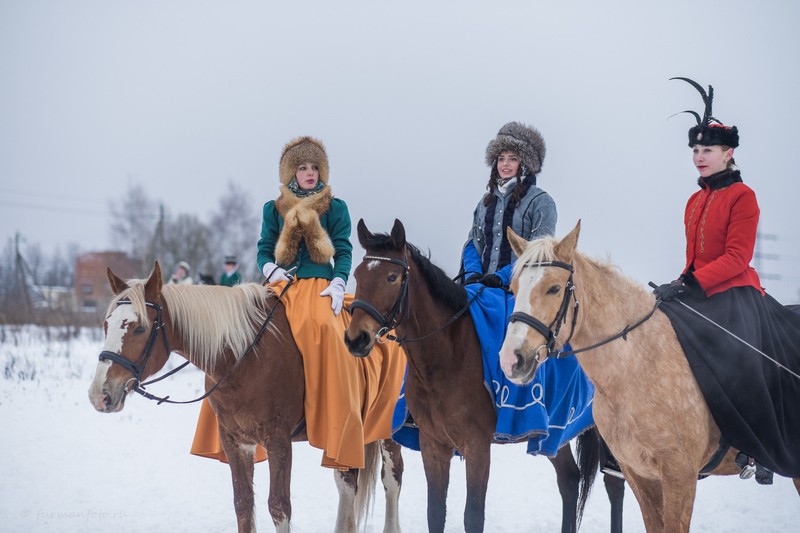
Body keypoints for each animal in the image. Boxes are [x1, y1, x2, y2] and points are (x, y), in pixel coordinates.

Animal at [87, 262, 406, 532]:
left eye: (139, 328)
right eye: (106, 324)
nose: (99, 394)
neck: (244, 355)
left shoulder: (278, 442)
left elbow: (279, 506)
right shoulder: (235, 442)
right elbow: (242, 503)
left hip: (386, 431)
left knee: (391, 480)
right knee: (347, 484)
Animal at [344, 219, 624, 532]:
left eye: (392, 277)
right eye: (357, 275)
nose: (356, 338)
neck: (445, 358)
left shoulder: (477, 446)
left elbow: (473, 515)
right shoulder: (433, 445)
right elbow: (435, 512)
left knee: (614, 485)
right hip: (553, 432)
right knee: (569, 479)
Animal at [500, 221, 800, 532]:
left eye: (554, 288)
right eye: (513, 288)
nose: (511, 359)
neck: (636, 370)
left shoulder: (680, 476)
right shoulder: (639, 475)